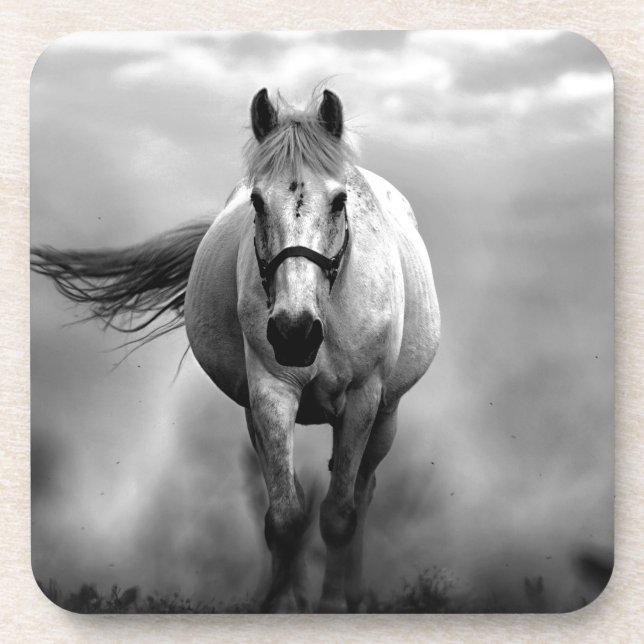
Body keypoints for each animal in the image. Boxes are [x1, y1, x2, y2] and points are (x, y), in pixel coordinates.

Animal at [31, 87, 441, 613]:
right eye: (258, 202)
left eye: (339, 201)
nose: (294, 332)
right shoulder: (269, 393)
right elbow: (286, 517)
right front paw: (285, 605)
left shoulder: (363, 399)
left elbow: (338, 516)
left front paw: (332, 606)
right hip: (256, 415)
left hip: (386, 416)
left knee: (362, 493)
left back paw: (353, 594)